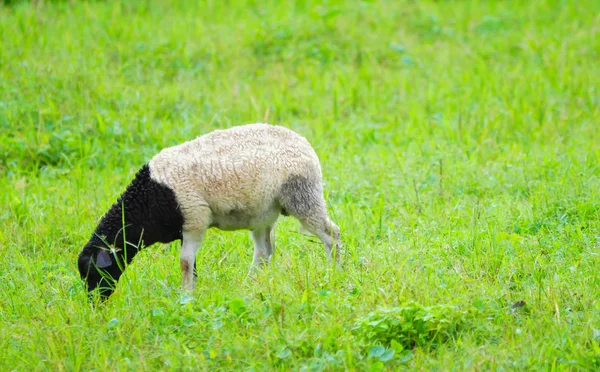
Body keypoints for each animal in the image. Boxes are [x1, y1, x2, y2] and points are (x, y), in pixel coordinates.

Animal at [78, 123, 342, 298]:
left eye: (94, 273)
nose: (95, 303)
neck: (146, 202)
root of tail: (303, 142)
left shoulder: (195, 219)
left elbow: (185, 262)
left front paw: (185, 296)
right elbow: (191, 264)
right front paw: (191, 292)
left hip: (302, 195)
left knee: (331, 234)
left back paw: (334, 271)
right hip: (262, 213)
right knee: (264, 252)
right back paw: (249, 284)